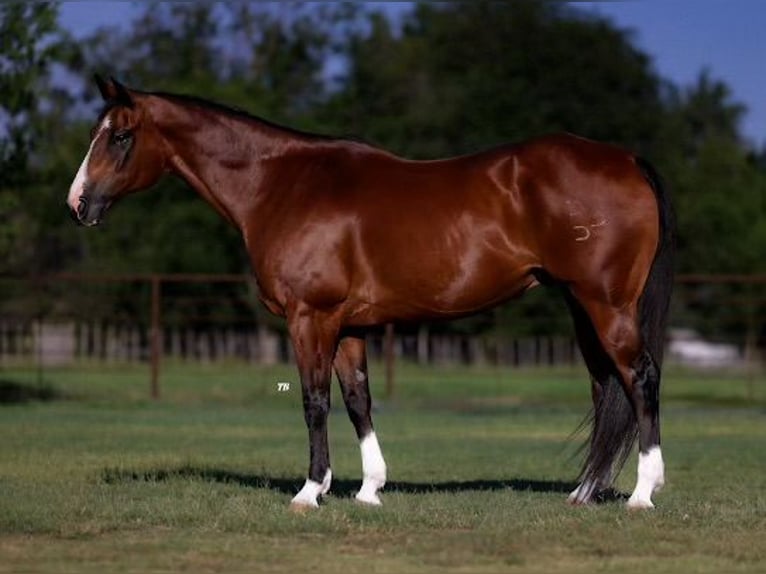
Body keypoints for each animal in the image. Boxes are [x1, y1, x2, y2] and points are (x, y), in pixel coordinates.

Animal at [69, 77, 676, 512]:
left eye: (120, 136)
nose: (78, 203)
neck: (282, 185)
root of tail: (626, 160)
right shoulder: (350, 325)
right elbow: (358, 399)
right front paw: (368, 489)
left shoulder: (309, 318)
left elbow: (315, 400)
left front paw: (310, 490)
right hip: (581, 305)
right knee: (604, 385)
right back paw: (584, 492)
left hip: (605, 304)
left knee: (639, 376)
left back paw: (642, 493)